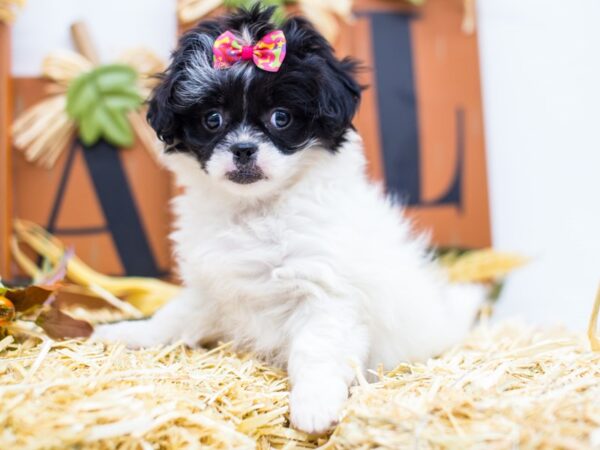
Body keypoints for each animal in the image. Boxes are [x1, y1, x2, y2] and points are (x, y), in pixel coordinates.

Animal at [92, 5, 482, 434]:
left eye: (281, 118)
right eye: (212, 120)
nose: (244, 149)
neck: (257, 210)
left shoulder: (325, 293)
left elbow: (315, 350)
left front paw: (314, 405)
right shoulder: (211, 286)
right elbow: (174, 316)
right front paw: (131, 331)